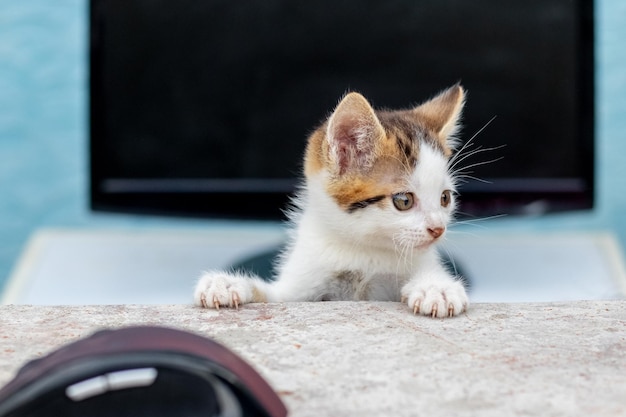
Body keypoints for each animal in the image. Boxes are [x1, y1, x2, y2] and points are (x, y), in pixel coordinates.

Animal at [195, 84, 468, 318]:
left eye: (445, 198)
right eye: (404, 201)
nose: (438, 229)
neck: (363, 251)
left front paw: (436, 288)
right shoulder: (301, 287)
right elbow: (274, 296)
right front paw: (227, 283)